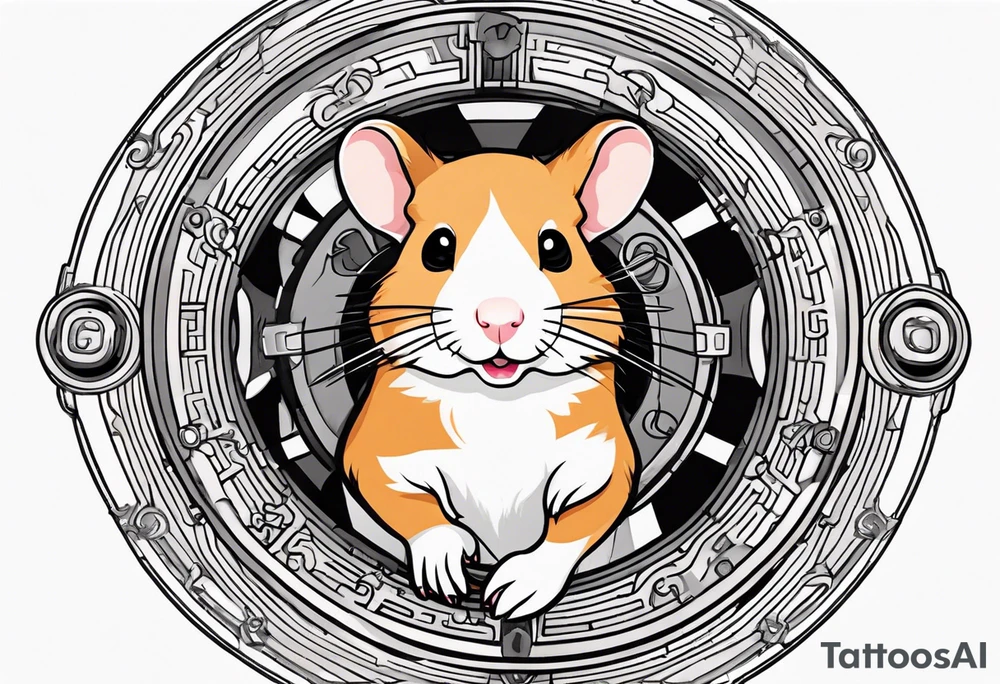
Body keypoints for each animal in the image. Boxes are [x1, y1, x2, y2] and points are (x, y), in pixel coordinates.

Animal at [335, 116, 654, 621]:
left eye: (556, 248)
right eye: (437, 249)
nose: (500, 318)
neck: (498, 399)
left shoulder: (604, 459)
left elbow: (578, 521)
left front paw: (514, 592)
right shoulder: (375, 455)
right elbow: (406, 503)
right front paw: (443, 572)